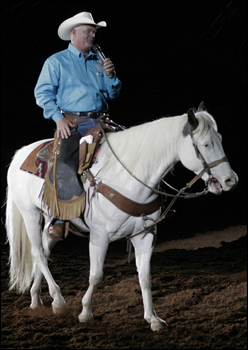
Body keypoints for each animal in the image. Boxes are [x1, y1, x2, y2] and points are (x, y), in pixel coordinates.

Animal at [4, 106, 238, 330]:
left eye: (220, 140)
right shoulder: (99, 236)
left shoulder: (145, 235)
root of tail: (19, 154)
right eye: (206, 144)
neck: (126, 177)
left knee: (44, 249)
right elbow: (96, 274)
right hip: (30, 213)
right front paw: (86, 313)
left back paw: (37, 299)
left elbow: (145, 277)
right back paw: (59, 301)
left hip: (50, 219)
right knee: (38, 253)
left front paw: (152, 318)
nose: (230, 180)